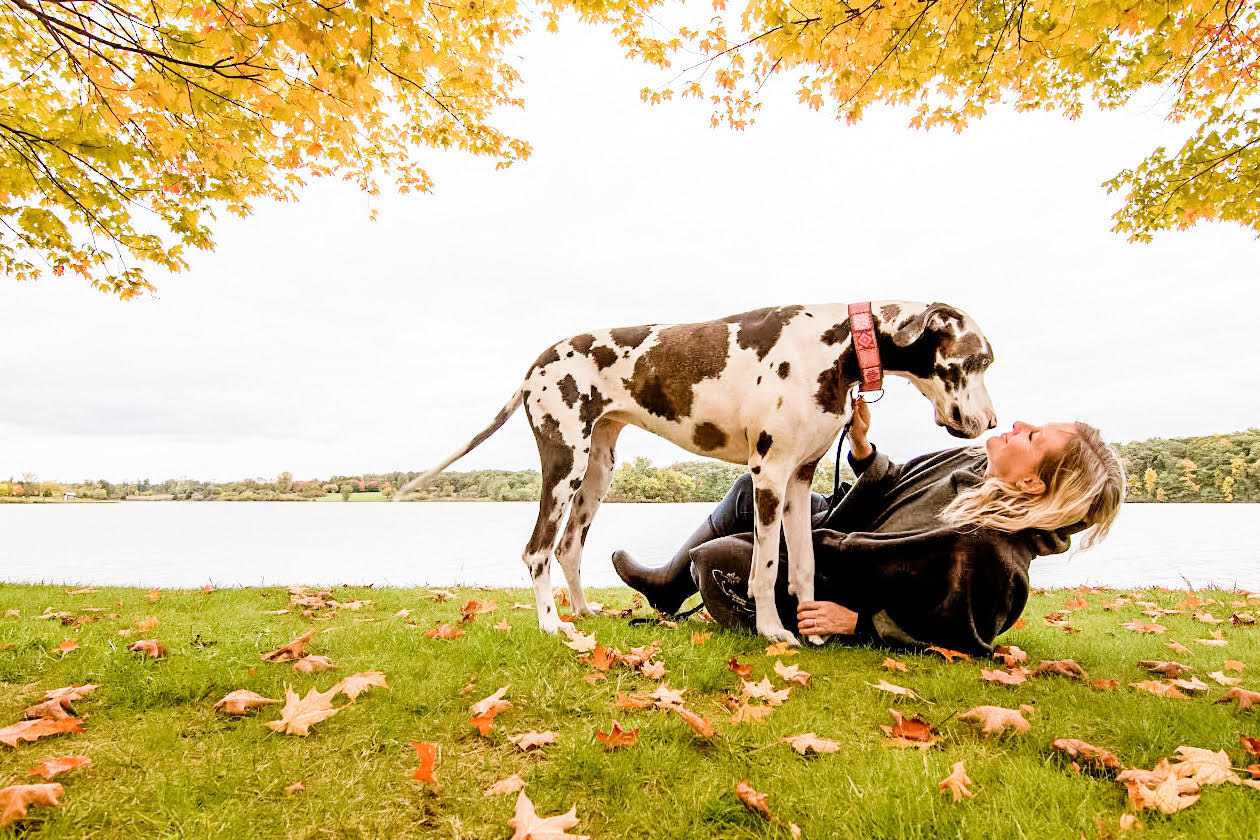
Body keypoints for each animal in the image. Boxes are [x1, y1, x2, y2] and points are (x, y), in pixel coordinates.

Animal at [398, 302, 997, 644]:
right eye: (979, 360)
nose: (992, 423)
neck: (838, 345)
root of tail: (536, 363)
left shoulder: (800, 480)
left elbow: (802, 566)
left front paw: (811, 625)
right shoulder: (769, 475)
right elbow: (766, 566)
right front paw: (773, 632)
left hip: (597, 474)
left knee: (568, 548)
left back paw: (585, 610)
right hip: (564, 464)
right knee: (537, 550)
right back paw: (551, 624)